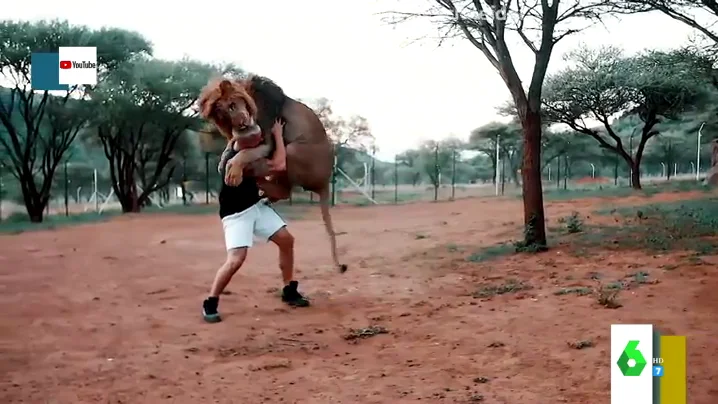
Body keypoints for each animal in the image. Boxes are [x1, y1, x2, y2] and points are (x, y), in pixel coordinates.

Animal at [194, 74, 346, 274]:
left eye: (232, 106)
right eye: (222, 115)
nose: (242, 123)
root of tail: (325, 181)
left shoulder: (267, 136)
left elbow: (244, 152)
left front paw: (232, 168)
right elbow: (233, 145)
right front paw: (223, 160)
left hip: (292, 150)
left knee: (282, 183)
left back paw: (256, 178)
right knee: (283, 188)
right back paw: (263, 192)